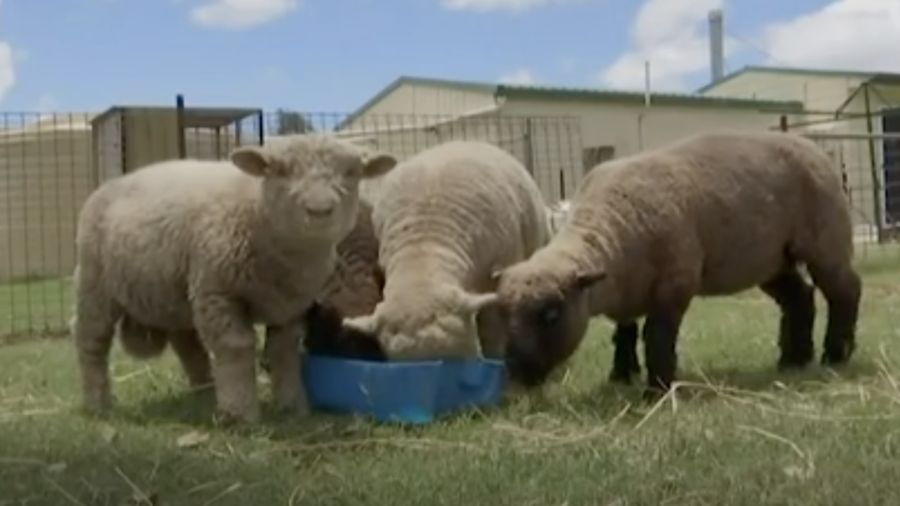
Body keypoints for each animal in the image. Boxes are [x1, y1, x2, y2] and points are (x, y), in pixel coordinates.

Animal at [70, 134, 397, 423]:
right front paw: (241, 415)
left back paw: (205, 400)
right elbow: (235, 347)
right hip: (95, 285)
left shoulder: (291, 304)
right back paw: (98, 404)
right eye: (280, 170)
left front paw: (292, 406)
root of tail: (115, 181)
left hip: (178, 296)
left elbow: (284, 352)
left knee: (191, 350)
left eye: (352, 172)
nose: (319, 210)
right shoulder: (218, 291)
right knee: (91, 342)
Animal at [480, 130, 862, 398]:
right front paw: (621, 375)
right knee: (800, 297)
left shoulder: (675, 283)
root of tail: (813, 148)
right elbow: (625, 332)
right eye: (502, 314)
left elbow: (657, 335)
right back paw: (793, 361)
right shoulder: (627, 287)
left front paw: (657, 389)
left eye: (550, 314)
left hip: (825, 239)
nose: (515, 371)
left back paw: (836, 354)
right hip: (771, 259)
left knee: (845, 289)